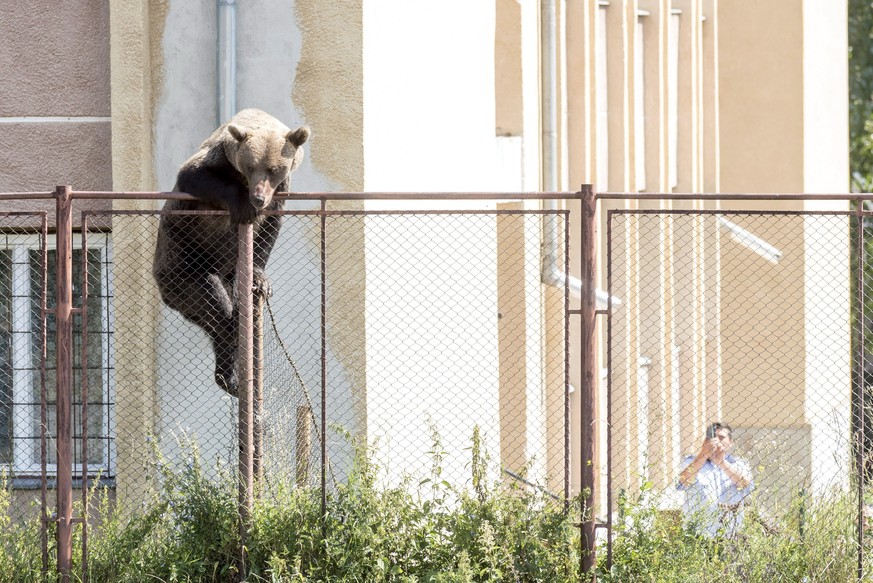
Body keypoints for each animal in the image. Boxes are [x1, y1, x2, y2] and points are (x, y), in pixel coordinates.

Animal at [153, 109, 310, 396]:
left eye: (274, 169)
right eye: (250, 166)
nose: (258, 197)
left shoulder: (281, 190)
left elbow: (268, 230)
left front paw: (260, 277)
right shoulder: (213, 162)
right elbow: (193, 174)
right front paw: (244, 205)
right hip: (181, 258)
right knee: (214, 306)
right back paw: (231, 375)